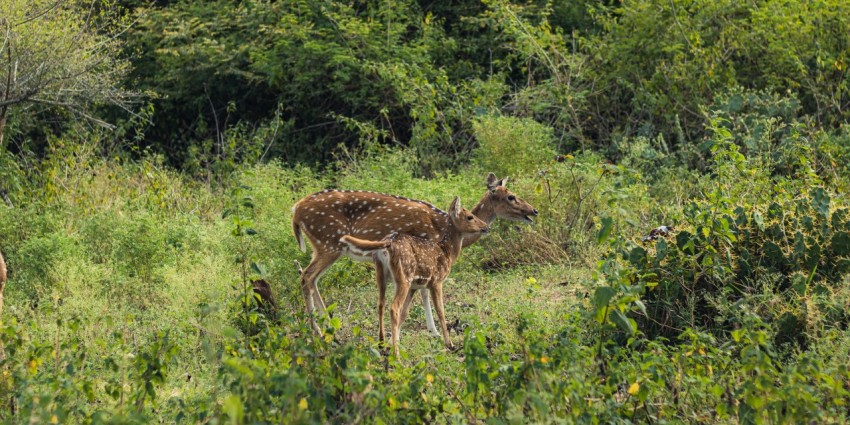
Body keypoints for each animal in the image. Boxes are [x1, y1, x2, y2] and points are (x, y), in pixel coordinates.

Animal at [292, 172, 536, 332]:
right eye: (511, 196)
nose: (534, 210)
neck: (444, 228)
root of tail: (295, 210)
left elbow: (423, 292)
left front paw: (432, 330)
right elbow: (423, 294)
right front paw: (435, 331)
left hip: (325, 246)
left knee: (311, 278)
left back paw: (329, 325)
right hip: (328, 242)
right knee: (307, 277)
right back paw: (317, 330)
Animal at [338, 197, 484, 356]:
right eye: (470, 216)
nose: (485, 226)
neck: (447, 253)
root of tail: (387, 244)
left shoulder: (415, 286)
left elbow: (405, 313)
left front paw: (392, 342)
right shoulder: (436, 281)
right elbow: (440, 310)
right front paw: (449, 344)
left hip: (381, 273)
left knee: (381, 304)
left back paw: (382, 344)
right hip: (404, 276)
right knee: (394, 308)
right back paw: (396, 354)